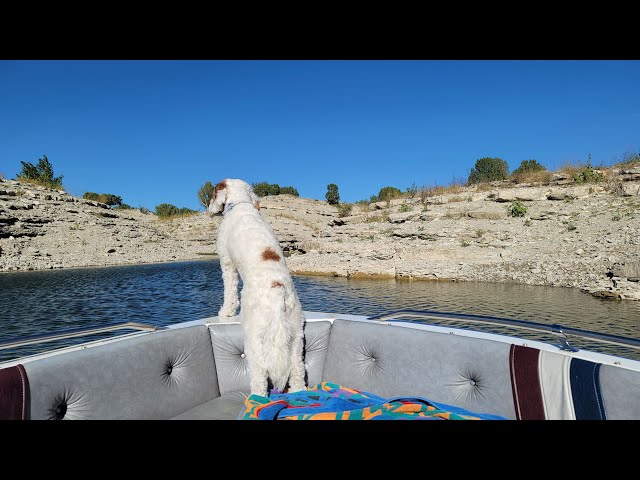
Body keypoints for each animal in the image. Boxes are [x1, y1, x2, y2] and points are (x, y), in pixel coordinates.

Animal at [209, 178, 306, 396]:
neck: (240, 204)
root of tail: (278, 292)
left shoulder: (227, 263)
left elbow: (229, 292)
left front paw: (225, 312)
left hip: (254, 339)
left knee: (260, 375)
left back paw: (256, 397)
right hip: (295, 335)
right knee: (297, 371)